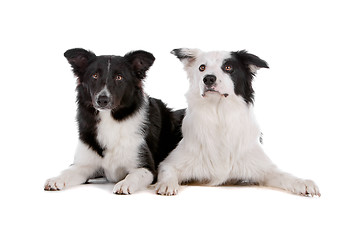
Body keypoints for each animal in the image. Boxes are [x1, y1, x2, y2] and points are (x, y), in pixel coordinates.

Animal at [45, 47, 184, 194]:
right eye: (94, 76)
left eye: (119, 77)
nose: (102, 99)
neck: (110, 119)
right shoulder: (83, 165)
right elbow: (67, 172)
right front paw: (56, 179)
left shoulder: (146, 168)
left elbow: (134, 175)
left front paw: (125, 183)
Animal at [155, 48, 320, 197]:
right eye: (202, 67)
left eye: (228, 67)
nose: (208, 78)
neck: (219, 114)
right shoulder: (170, 163)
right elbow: (167, 171)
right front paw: (166, 184)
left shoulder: (264, 168)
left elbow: (284, 175)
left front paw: (303, 182)